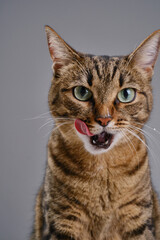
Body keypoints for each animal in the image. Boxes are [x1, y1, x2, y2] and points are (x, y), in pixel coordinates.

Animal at [30, 25, 160, 239]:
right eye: (82, 92)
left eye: (126, 94)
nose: (104, 119)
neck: (101, 170)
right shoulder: (61, 218)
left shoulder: (137, 217)